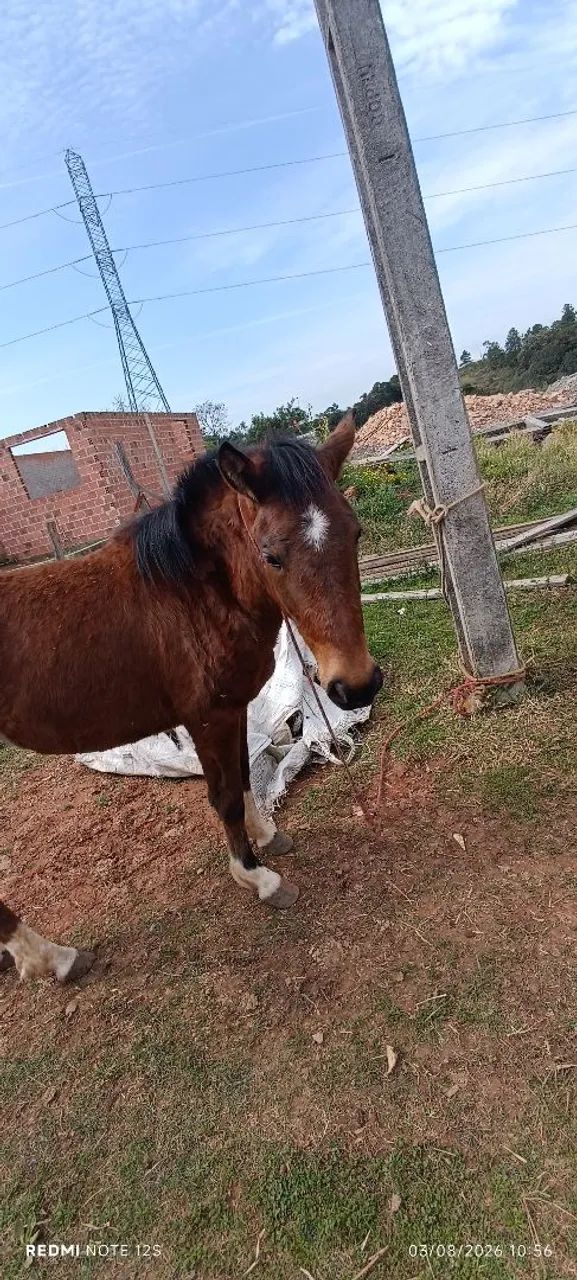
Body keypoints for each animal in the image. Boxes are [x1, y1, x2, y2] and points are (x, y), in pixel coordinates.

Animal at [0, 412, 382, 983]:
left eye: (354, 533)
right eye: (272, 555)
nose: (355, 685)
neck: (193, 594)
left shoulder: (234, 709)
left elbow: (244, 777)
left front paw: (267, 836)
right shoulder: (207, 718)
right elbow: (223, 796)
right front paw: (258, 878)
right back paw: (55, 957)